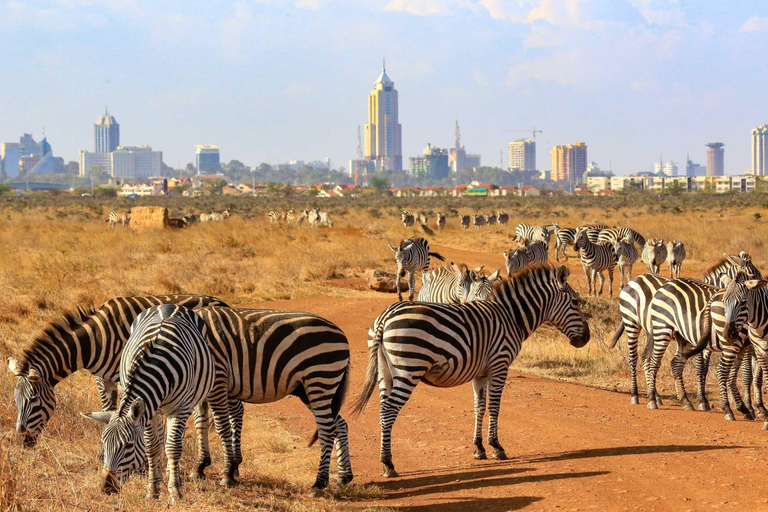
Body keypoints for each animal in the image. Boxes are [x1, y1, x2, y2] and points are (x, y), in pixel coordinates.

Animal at [7, 294, 226, 450]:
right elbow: (108, 410)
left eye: (33, 400)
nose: (22, 441)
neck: (93, 341)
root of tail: (221, 302)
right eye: (16, 400)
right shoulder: (103, 378)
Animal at [195, 306, 352, 494]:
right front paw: (200, 466)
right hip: (311, 389)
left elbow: (221, 427)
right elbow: (200, 423)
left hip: (320, 379)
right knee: (340, 424)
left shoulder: (218, 379)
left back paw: (319, 483)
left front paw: (227, 474)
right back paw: (344, 477)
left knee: (327, 430)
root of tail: (342, 334)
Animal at [352, 266, 592, 478]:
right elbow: (494, 407)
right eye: (576, 302)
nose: (587, 339)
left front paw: (479, 448)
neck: (511, 317)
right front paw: (496, 447)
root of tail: (386, 316)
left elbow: (479, 408)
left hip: (385, 372)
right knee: (388, 411)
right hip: (408, 369)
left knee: (382, 411)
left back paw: (385, 461)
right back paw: (388, 464)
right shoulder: (499, 365)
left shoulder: (480, 373)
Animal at [608, 272, 668, 404]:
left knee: (647, 357)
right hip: (632, 323)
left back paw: (654, 395)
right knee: (634, 357)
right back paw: (635, 394)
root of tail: (635, 279)